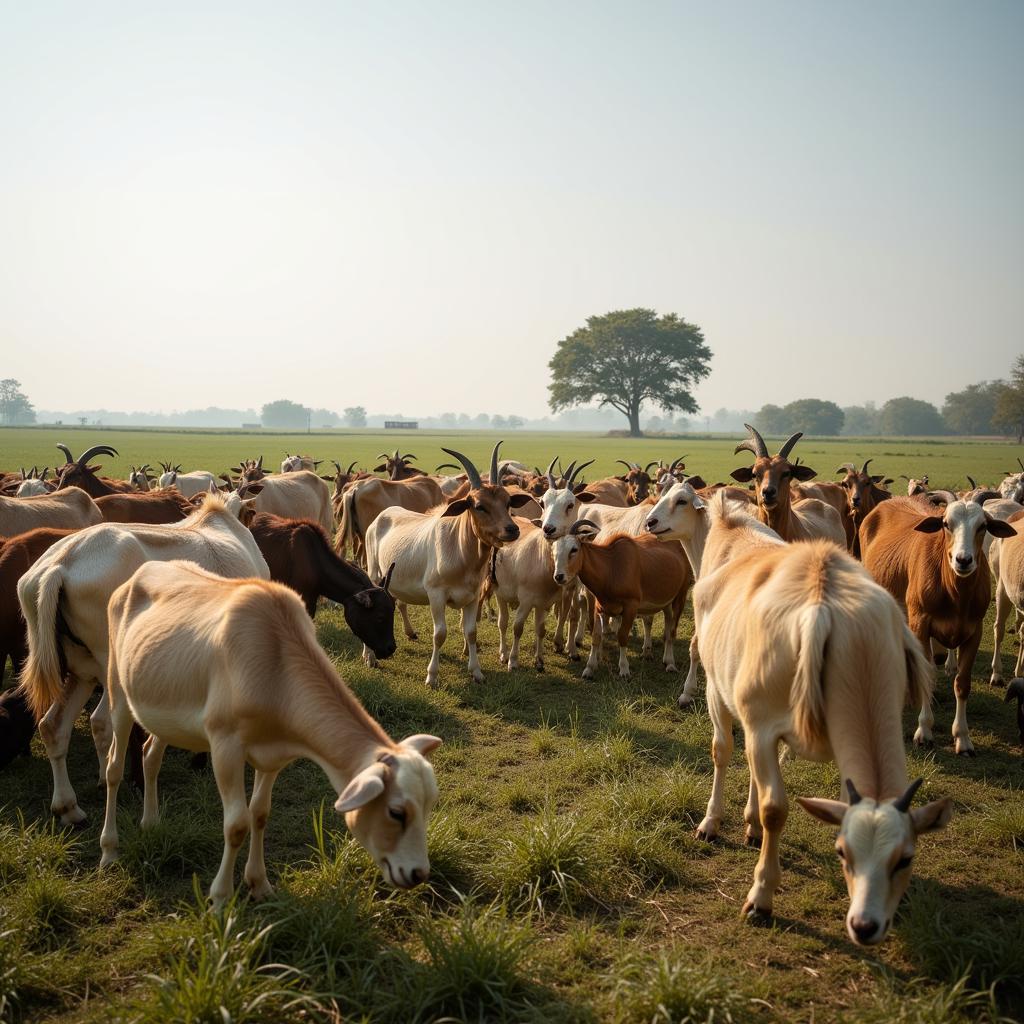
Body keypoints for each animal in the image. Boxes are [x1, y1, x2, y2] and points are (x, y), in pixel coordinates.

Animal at [18, 487, 268, 823]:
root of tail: (60, 564)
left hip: (81, 670)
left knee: (53, 726)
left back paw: (69, 807)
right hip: (110, 668)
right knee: (101, 722)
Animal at [100, 561, 440, 905]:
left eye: (429, 804)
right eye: (396, 812)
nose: (418, 873)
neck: (276, 664)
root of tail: (140, 572)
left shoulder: (274, 750)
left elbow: (260, 813)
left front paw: (259, 884)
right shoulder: (225, 744)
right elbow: (237, 824)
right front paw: (220, 898)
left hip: (166, 706)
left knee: (150, 755)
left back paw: (151, 823)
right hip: (117, 683)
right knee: (114, 765)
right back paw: (109, 851)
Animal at [364, 444, 532, 684]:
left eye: (507, 502)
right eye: (480, 506)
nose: (512, 529)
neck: (460, 552)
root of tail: (382, 516)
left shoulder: (472, 596)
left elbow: (471, 632)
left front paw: (476, 672)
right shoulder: (436, 594)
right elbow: (440, 634)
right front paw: (432, 676)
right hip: (374, 572)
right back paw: (370, 657)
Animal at [638, 487, 950, 942]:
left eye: (905, 859)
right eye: (842, 850)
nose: (867, 926)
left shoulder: (739, 706)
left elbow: (740, 766)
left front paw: (752, 860)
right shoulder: (743, 711)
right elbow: (737, 766)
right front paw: (730, 832)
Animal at [860, 493, 1011, 753]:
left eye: (982, 525)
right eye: (946, 524)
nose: (963, 560)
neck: (955, 593)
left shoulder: (974, 631)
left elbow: (962, 683)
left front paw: (962, 737)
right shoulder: (920, 624)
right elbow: (928, 676)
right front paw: (924, 731)